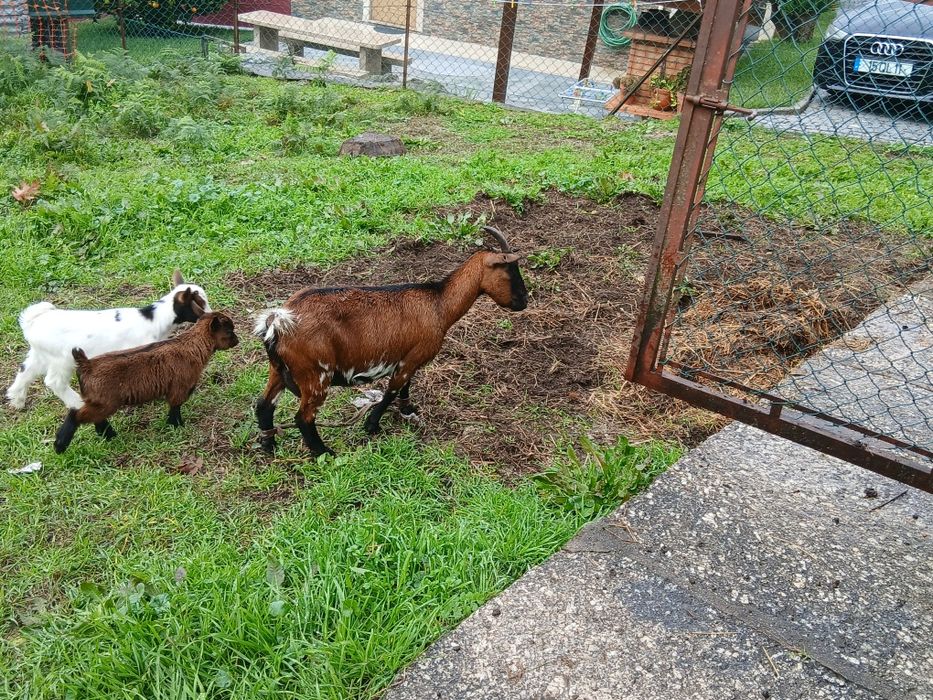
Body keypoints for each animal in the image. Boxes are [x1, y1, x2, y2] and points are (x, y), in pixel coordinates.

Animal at [7, 271, 210, 411]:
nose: (209, 314)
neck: (154, 318)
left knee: (25, 371)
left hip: (39, 354)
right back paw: (76, 403)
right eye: (199, 304)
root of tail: (31, 323)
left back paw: (16, 400)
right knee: (54, 381)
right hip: (61, 359)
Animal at [53, 312, 239, 454]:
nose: (237, 341)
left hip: (98, 401)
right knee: (77, 414)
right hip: (106, 402)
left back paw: (108, 435)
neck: (192, 346)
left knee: (93, 416)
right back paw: (60, 445)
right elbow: (175, 407)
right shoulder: (180, 387)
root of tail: (86, 364)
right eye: (229, 331)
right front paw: (177, 426)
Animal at [253, 226, 528, 457]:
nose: (524, 301)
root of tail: (277, 321)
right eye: (511, 272)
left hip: (278, 370)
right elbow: (392, 390)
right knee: (303, 417)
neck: (438, 304)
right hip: (316, 374)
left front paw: (407, 409)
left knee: (264, 406)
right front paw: (372, 425)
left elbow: (405, 386)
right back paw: (325, 453)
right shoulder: (411, 358)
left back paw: (269, 444)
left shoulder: (408, 356)